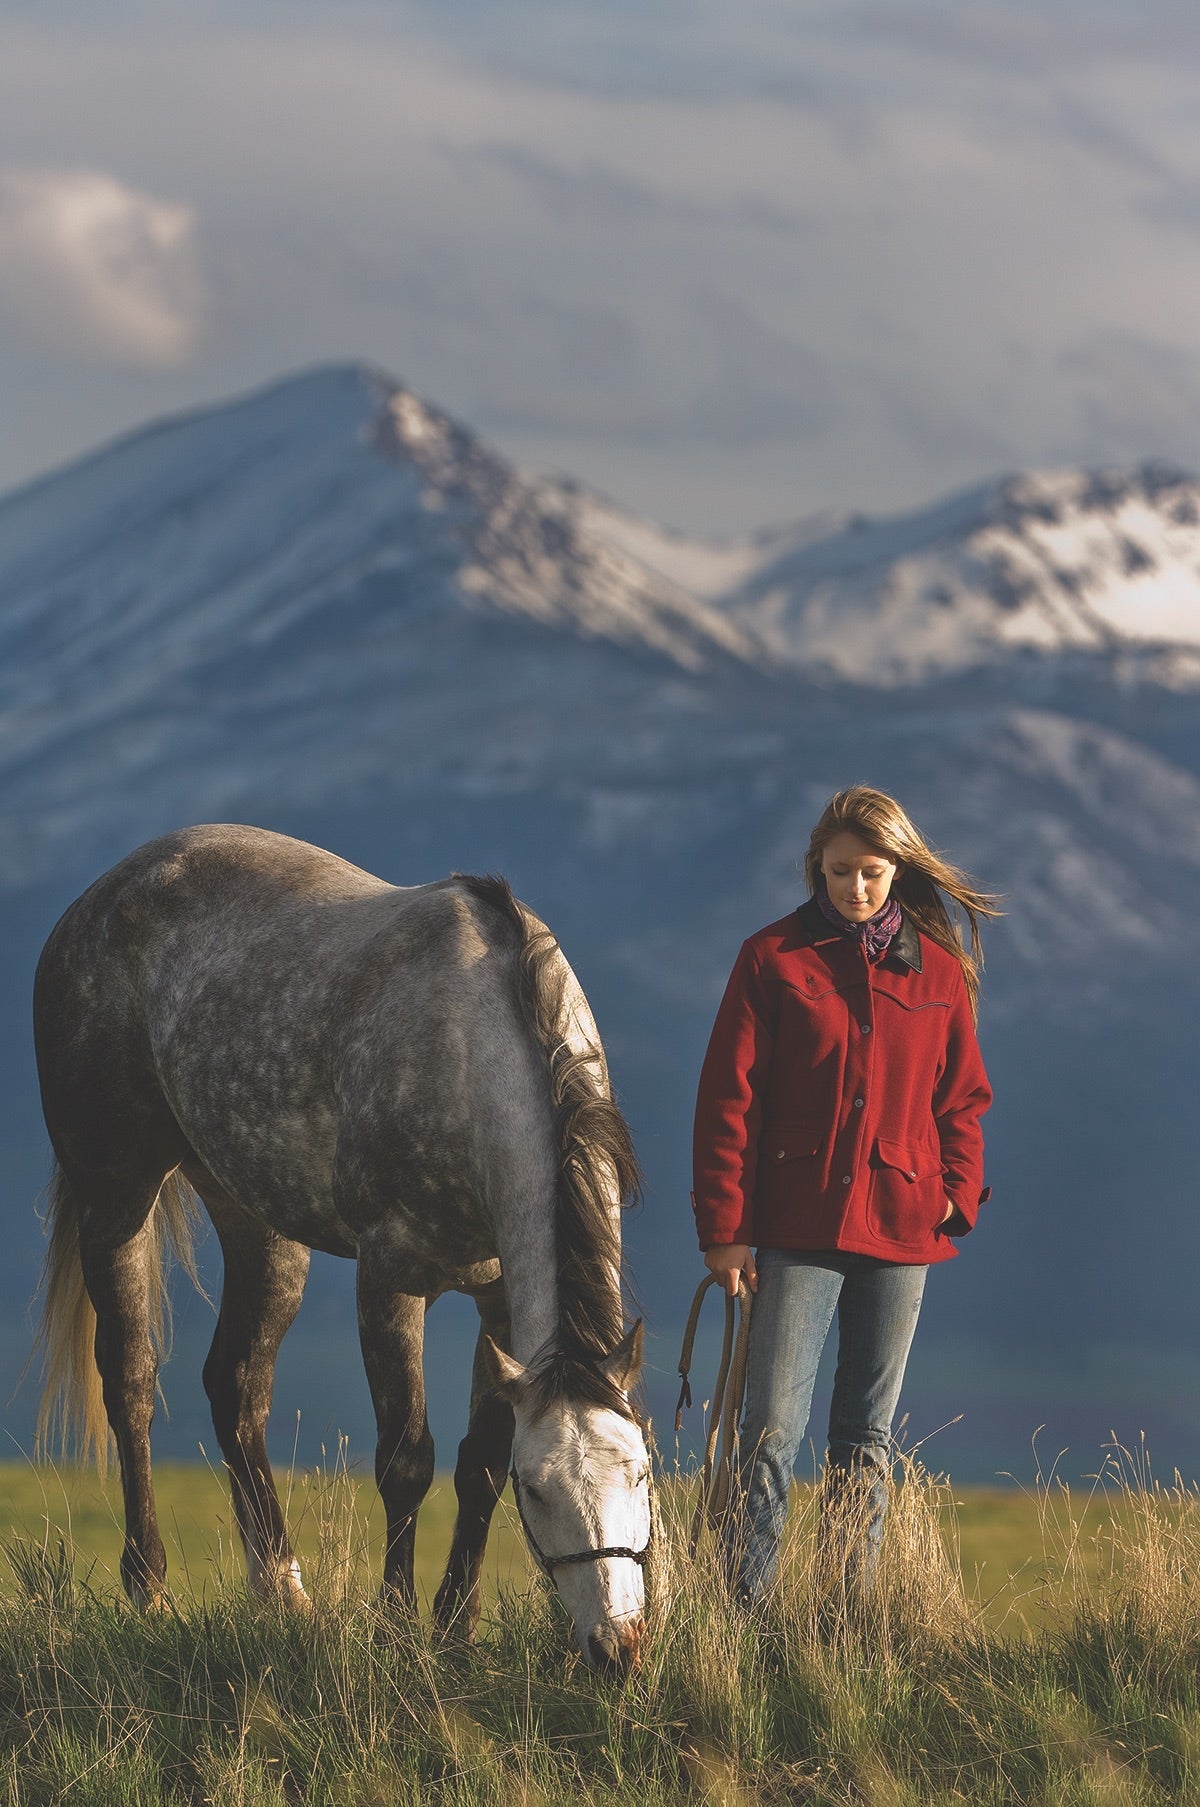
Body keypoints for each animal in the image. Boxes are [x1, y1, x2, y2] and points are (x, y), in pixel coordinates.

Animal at [37, 827, 650, 1669]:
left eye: (642, 1472)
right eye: (541, 1488)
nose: (618, 1644)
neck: (470, 1050)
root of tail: (94, 899)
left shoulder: (498, 1301)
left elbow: (477, 1463)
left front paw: (455, 1628)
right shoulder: (391, 1278)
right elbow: (408, 1460)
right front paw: (395, 1624)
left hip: (258, 1222)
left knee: (235, 1385)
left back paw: (282, 1590)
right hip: (116, 1195)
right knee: (129, 1378)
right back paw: (149, 1586)